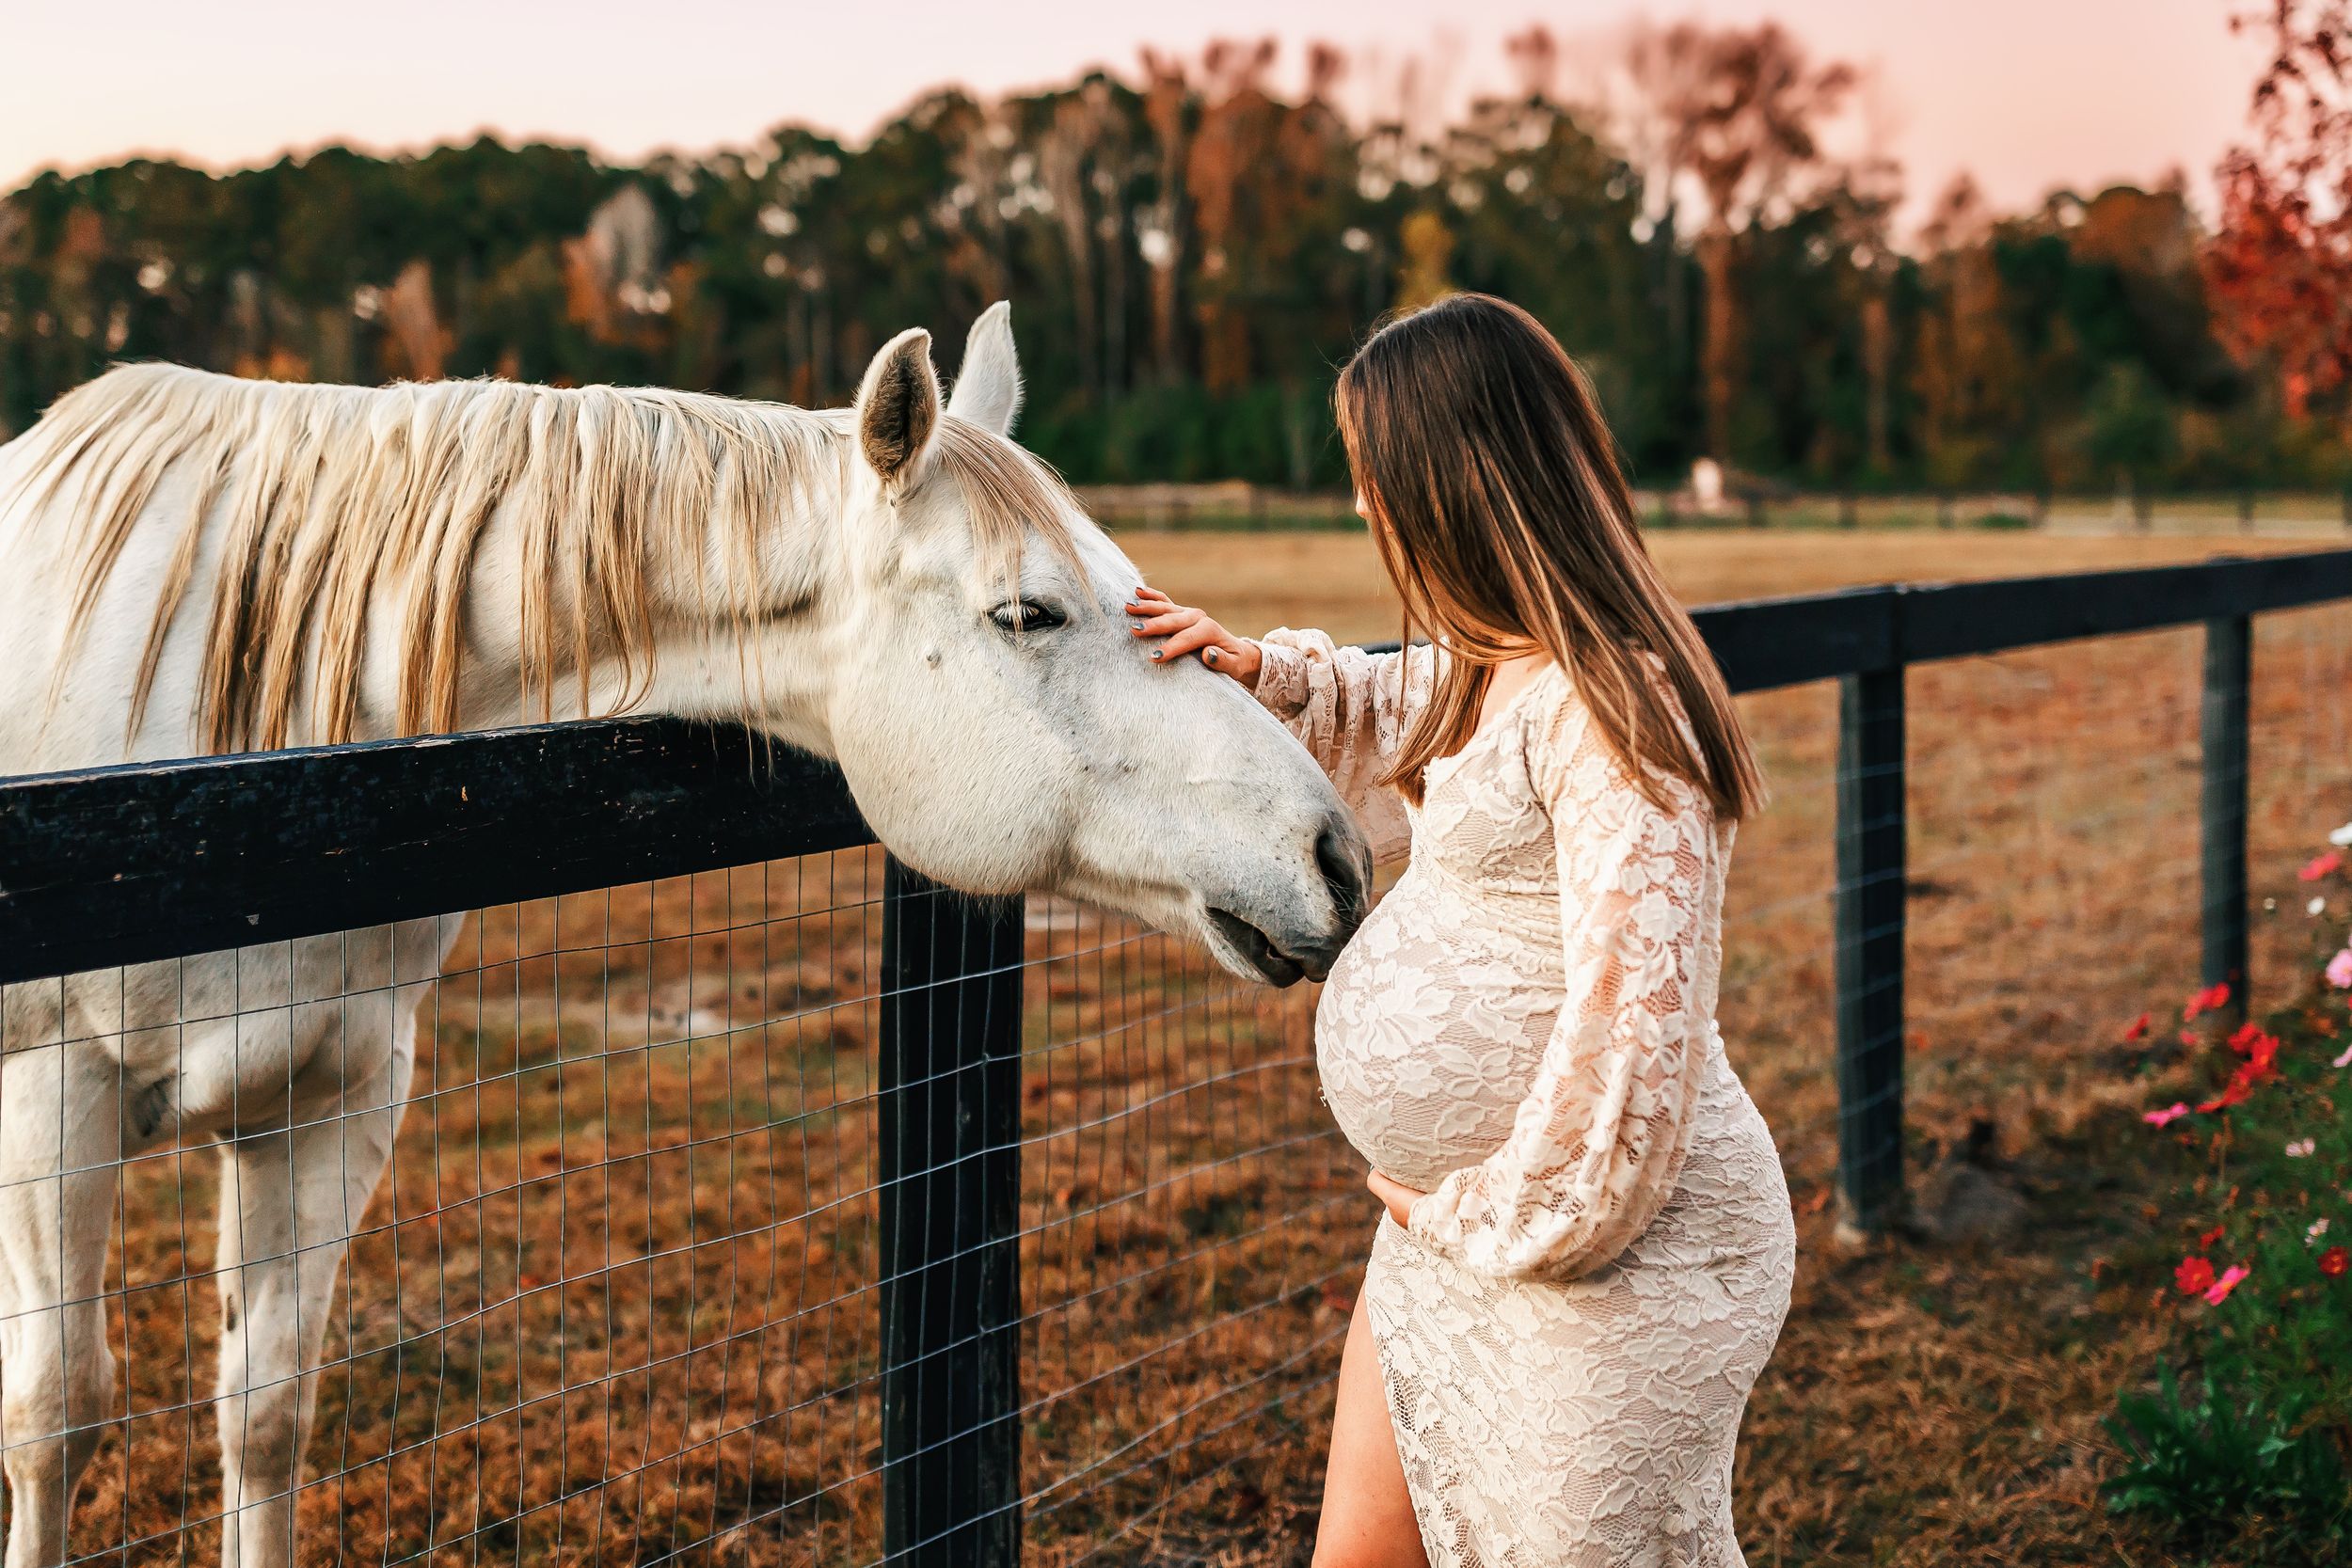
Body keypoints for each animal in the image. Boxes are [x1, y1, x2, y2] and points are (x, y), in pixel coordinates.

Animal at [0, 305, 1370, 1568]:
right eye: (1028, 613)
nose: (1339, 858)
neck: (234, 797)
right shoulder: (53, 1093)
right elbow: (56, 1412)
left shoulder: (334, 1097)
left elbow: (267, 1413)